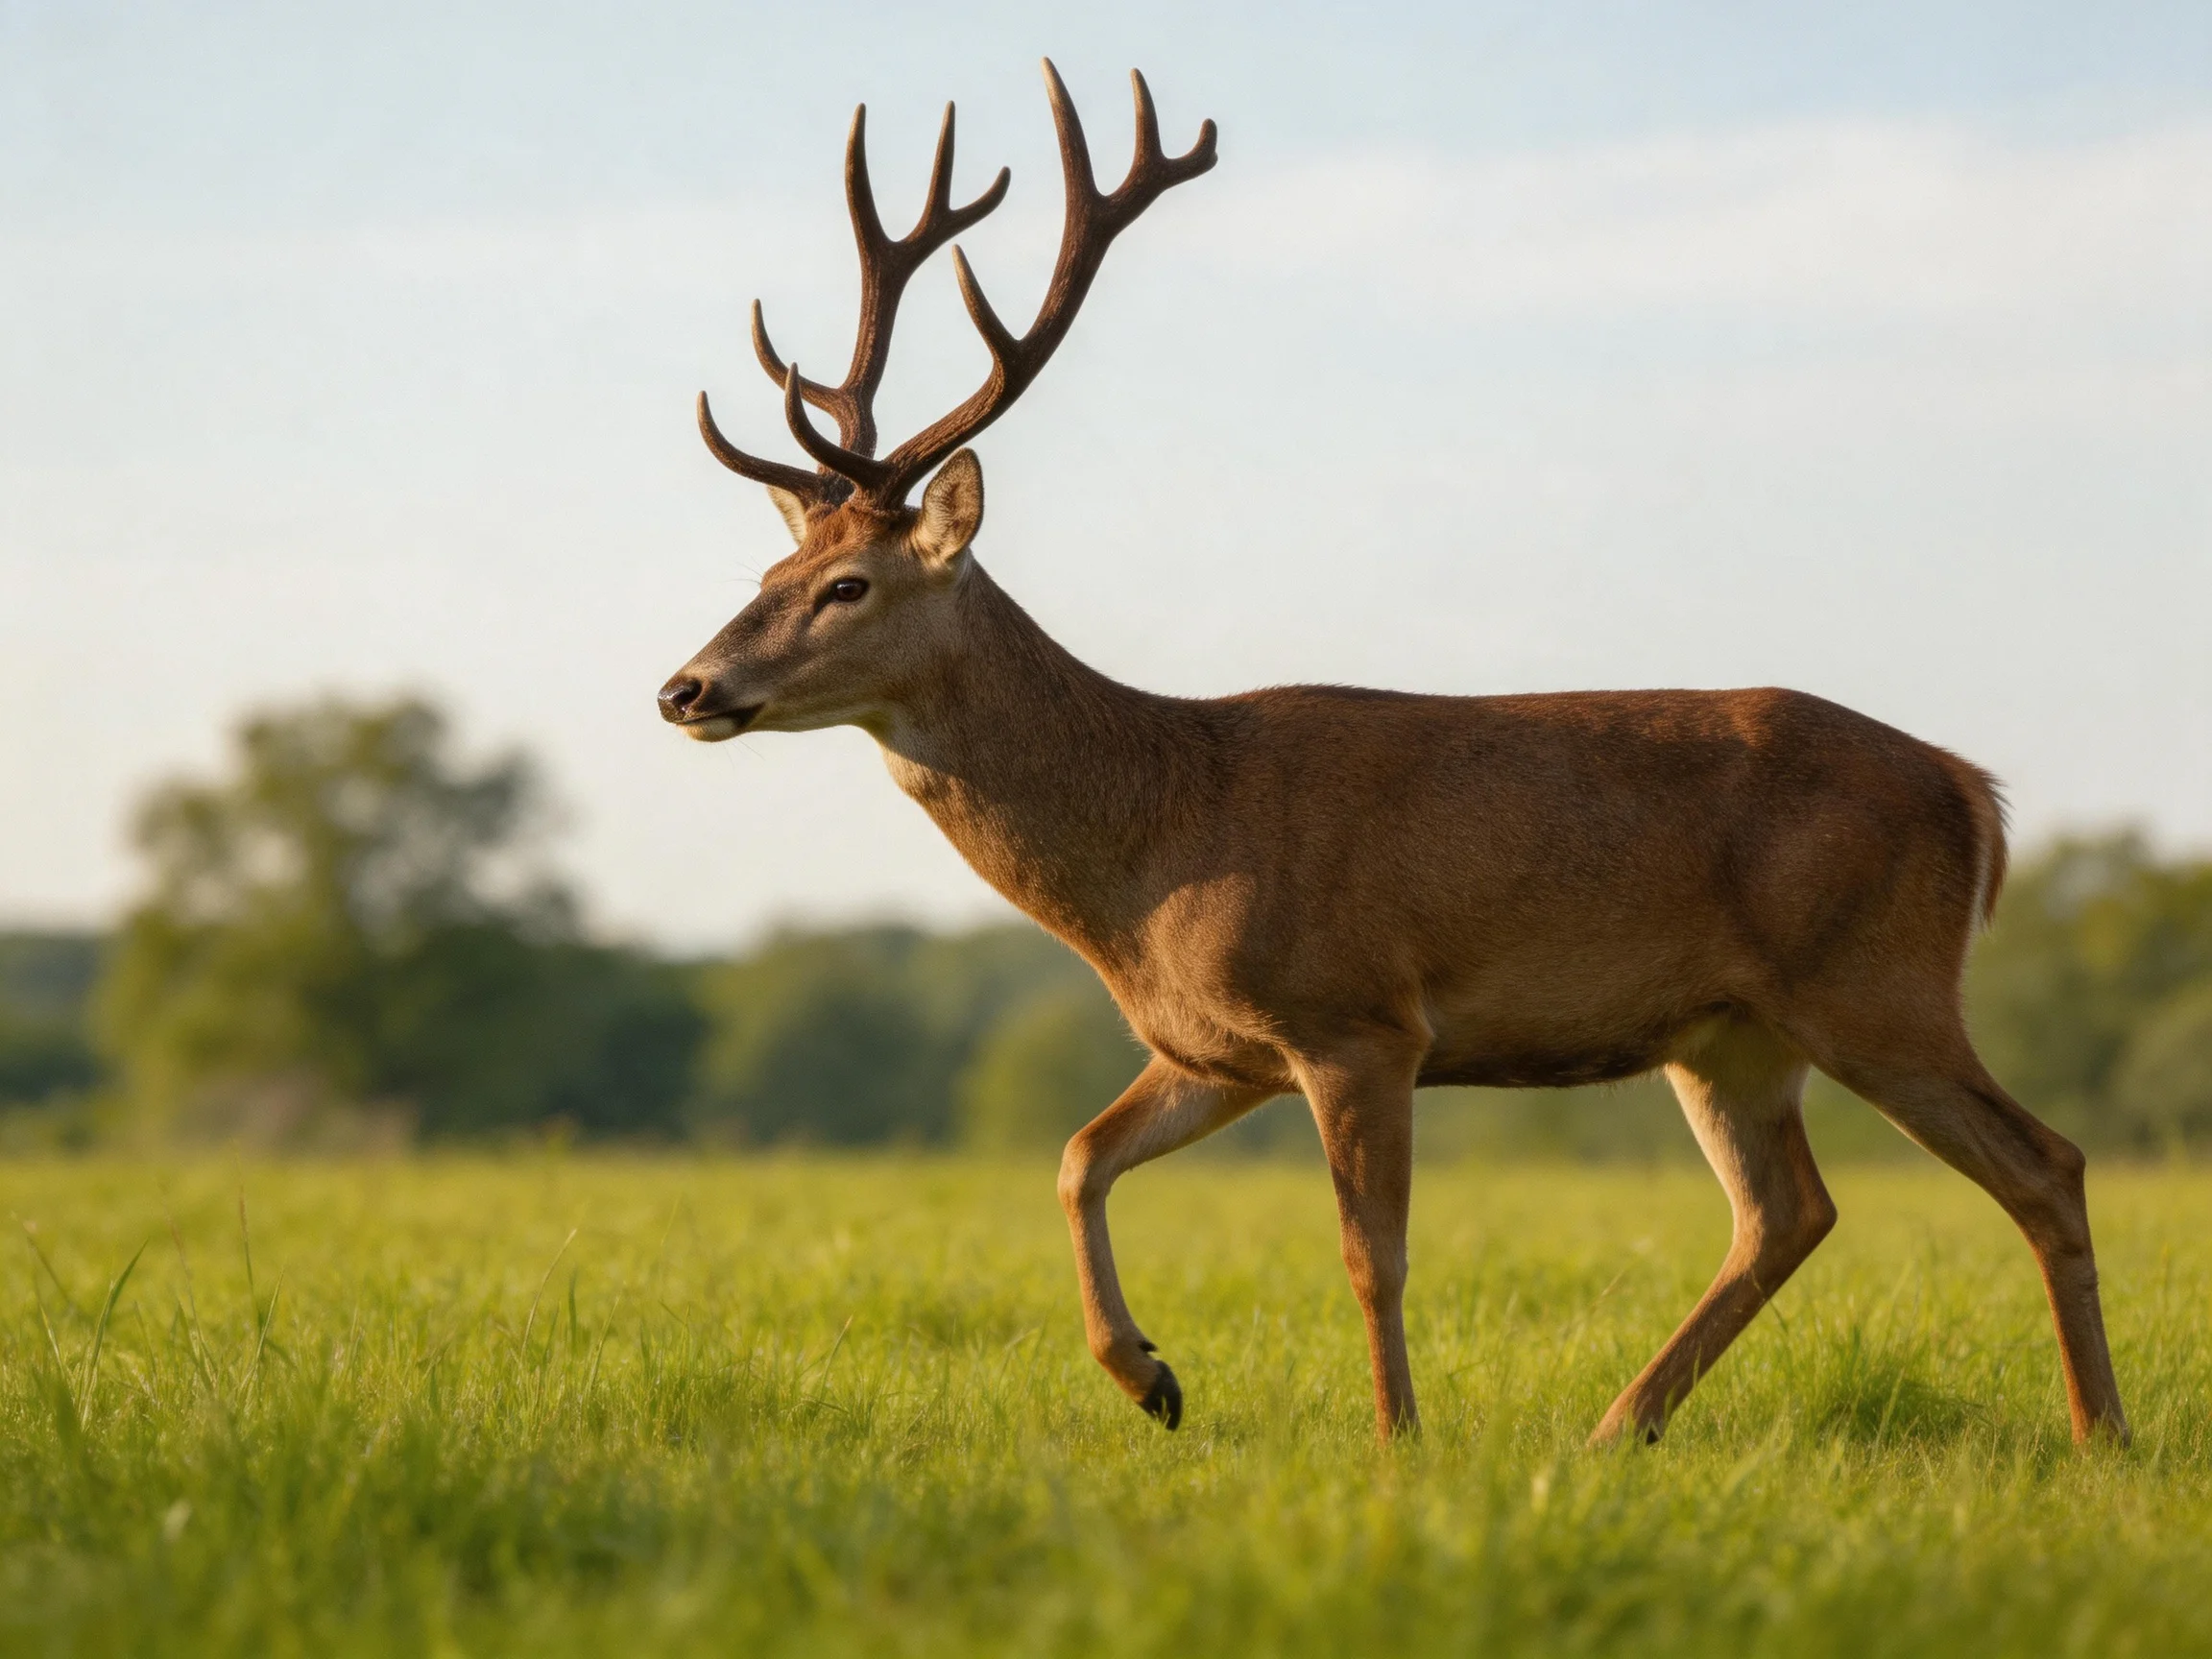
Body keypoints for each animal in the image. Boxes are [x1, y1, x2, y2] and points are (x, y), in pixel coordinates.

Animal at [657, 61, 2129, 1448]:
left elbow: (1371, 1254)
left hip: (1876, 981)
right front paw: (1152, 1382)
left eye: (846, 585)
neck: (1158, 849)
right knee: (1792, 1212)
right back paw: (1619, 1428)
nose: (686, 687)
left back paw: (2097, 1433)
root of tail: (1975, 794)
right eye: (768, 570)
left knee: (2045, 1162)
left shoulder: (1356, 1015)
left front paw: (1393, 1436)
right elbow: (1078, 1157)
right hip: (1730, 1033)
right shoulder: (1218, 1047)